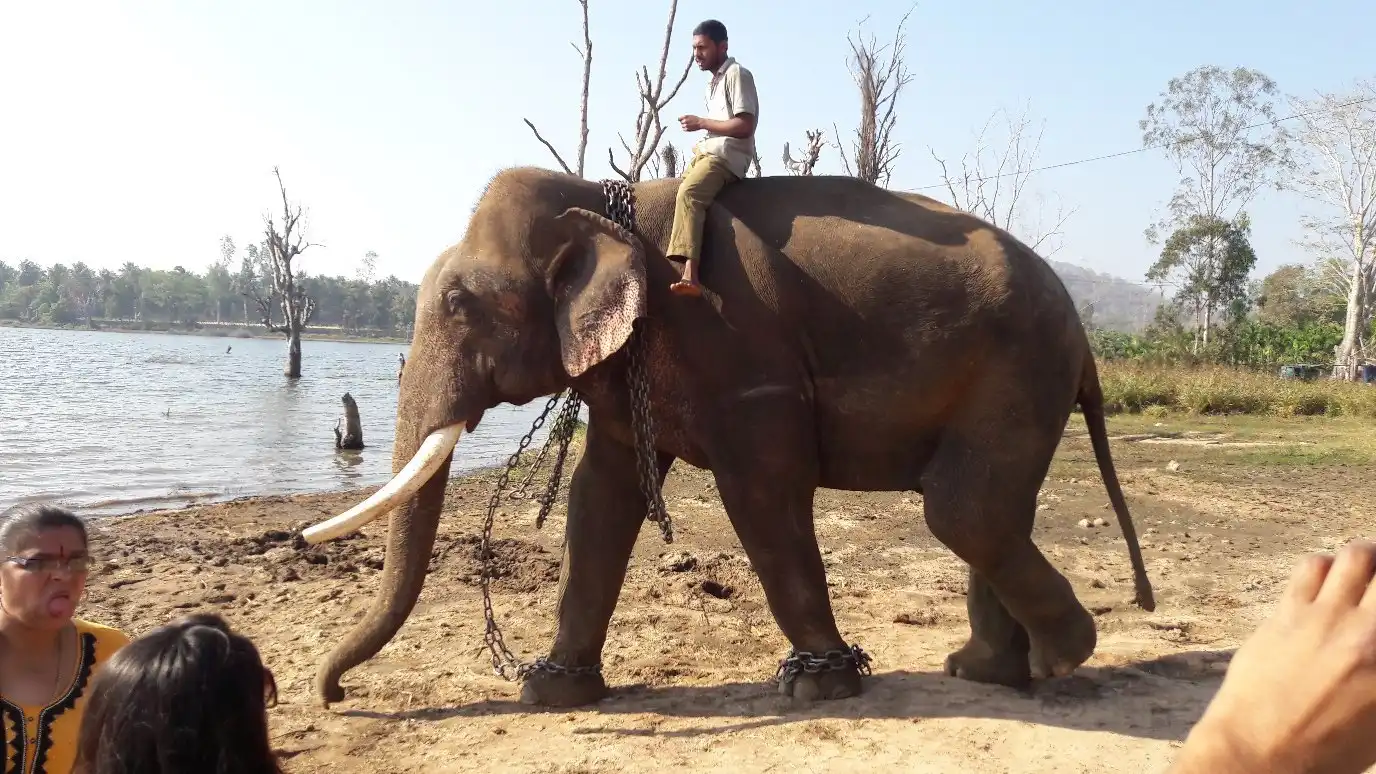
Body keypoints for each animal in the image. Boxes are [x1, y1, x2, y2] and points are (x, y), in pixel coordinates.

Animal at [299, 166, 1155, 709]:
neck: (603, 197)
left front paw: (818, 685)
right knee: (991, 511)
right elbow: (600, 498)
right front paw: (550, 689)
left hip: (1019, 367)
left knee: (963, 510)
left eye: (458, 304)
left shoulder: (740, 350)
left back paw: (1063, 655)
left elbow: (762, 492)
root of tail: (1085, 335)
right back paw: (986, 672)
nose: (334, 693)